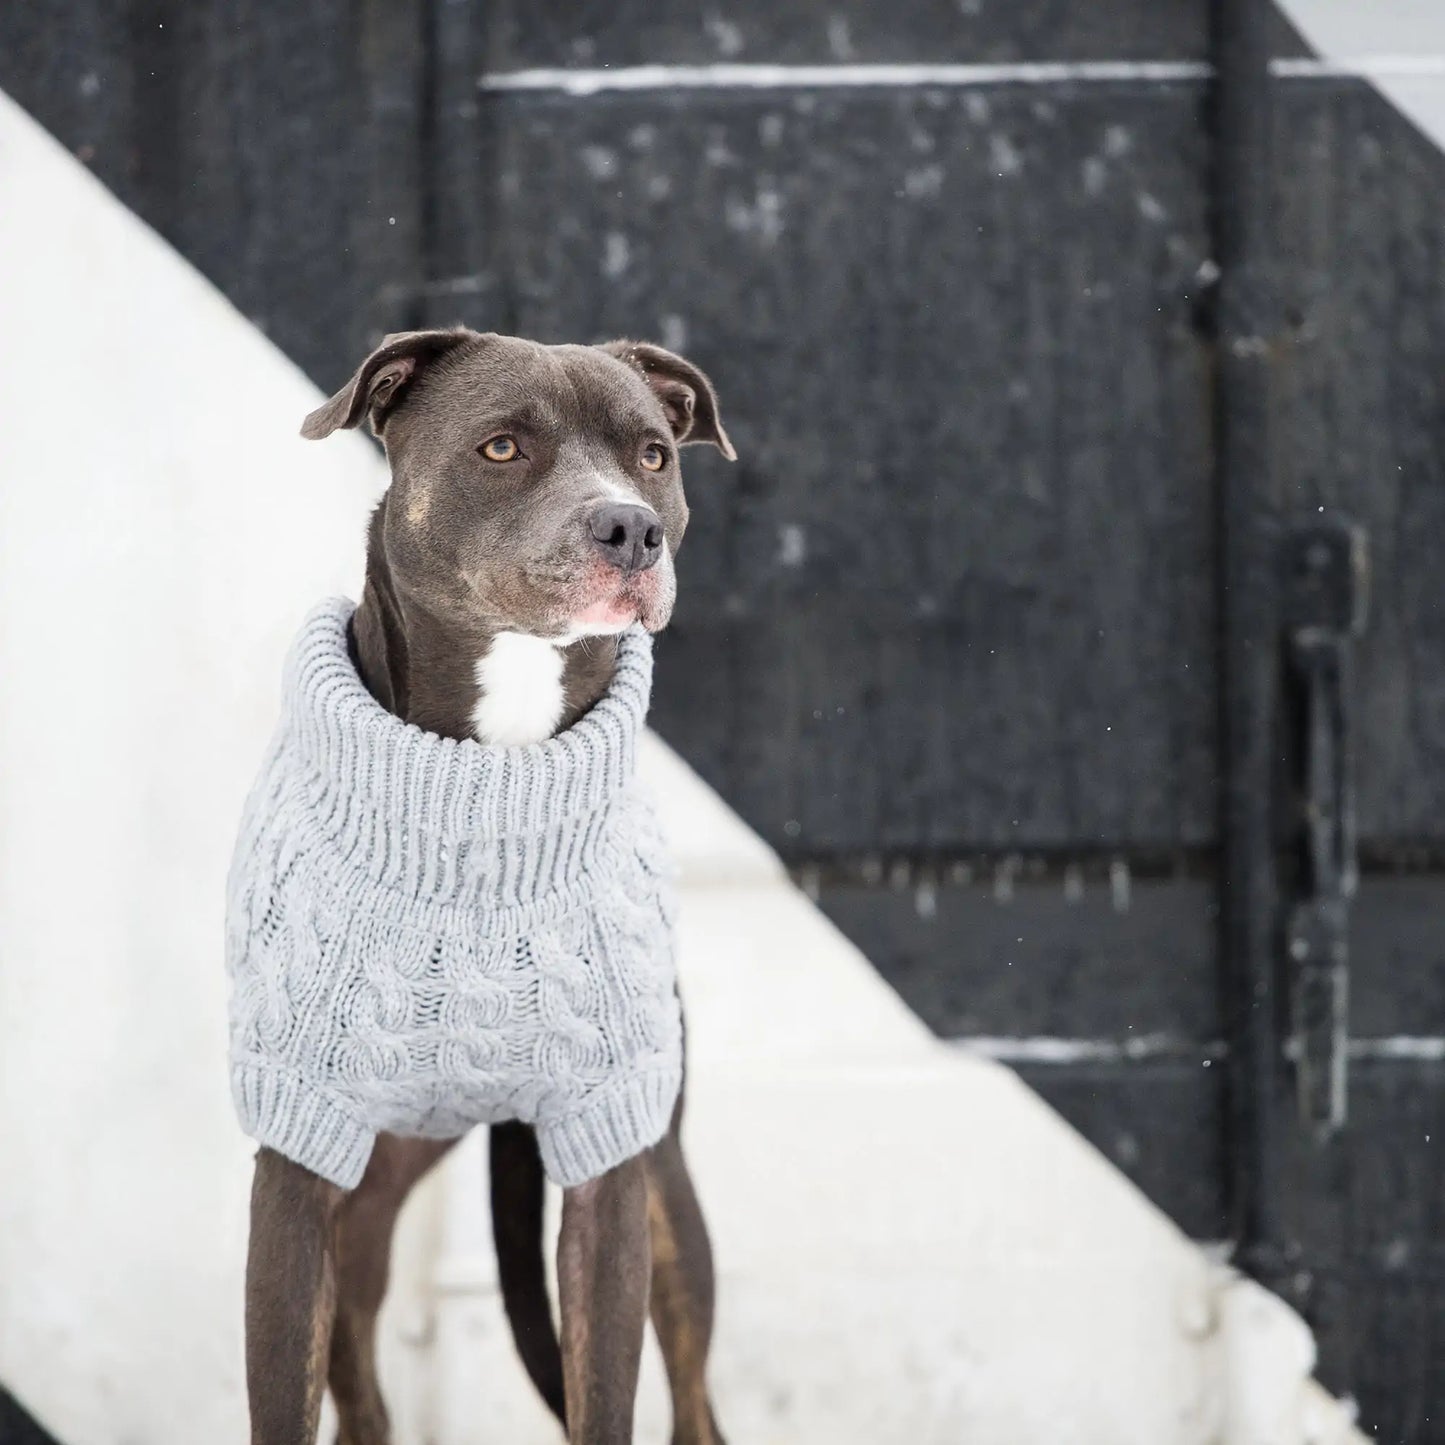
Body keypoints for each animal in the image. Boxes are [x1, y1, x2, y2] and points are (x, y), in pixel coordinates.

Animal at [247, 328, 734, 1445]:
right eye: (502, 446)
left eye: (653, 454)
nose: (630, 527)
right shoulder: (297, 1153)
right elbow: (283, 1396)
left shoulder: (610, 1158)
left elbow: (605, 1394)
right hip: (368, 1185)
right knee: (359, 1366)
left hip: (669, 1191)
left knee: (692, 1394)